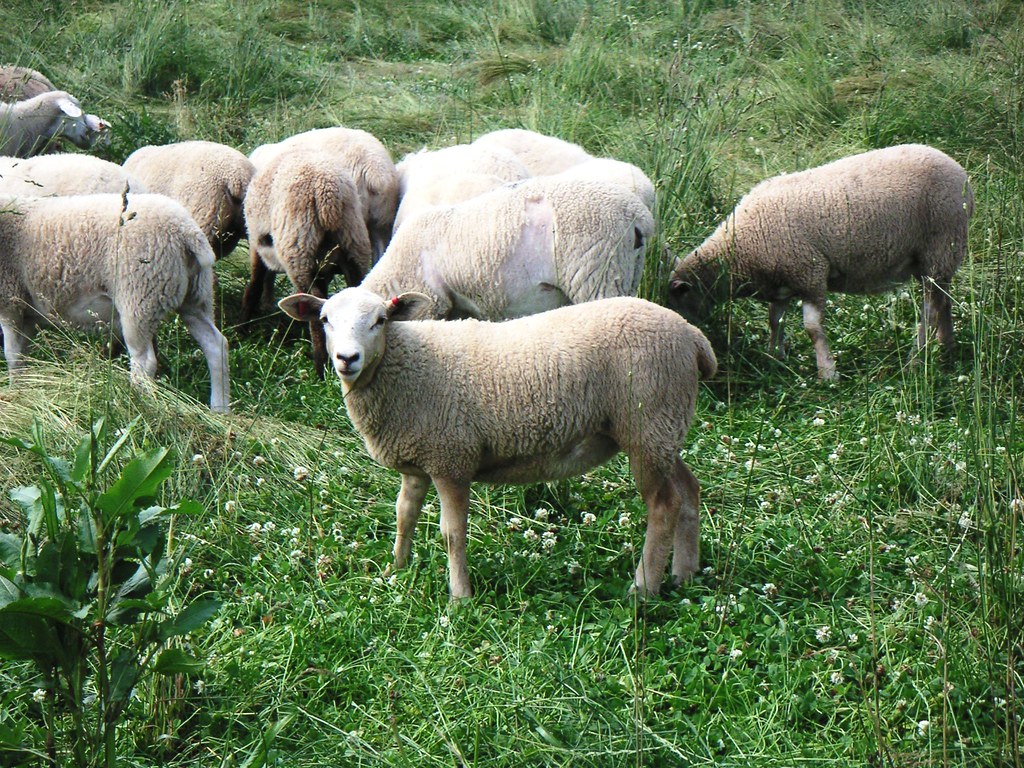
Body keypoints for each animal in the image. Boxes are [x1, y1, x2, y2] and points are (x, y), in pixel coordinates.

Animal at [0, 193, 230, 412]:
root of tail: (187, 230)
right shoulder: (26, 312)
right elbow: (23, 356)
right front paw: (22, 390)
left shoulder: (10, 302)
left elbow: (12, 355)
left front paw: (14, 395)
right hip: (196, 296)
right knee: (215, 345)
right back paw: (219, 410)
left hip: (140, 295)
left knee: (144, 361)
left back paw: (138, 405)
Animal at [241, 149, 373, 377]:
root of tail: (328, 196)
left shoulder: (256, 244)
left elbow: (254, 285)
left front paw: (242, 328)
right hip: (354, 244)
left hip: (298, 251)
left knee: (314, 309)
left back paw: (320, 367)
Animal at [279, 287, 717, 599]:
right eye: (325, 319)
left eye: (381, 320)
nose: (346, 358)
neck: (404, 365)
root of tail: (694, 337)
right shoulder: (420, 459)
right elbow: (404, 515)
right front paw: (396, 571)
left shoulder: (451, 459)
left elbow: (451, 532)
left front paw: (460, 597)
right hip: (663, 428)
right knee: (689, 489)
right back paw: (685, 574)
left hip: (646, 422)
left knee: (664, 505)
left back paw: (644, 588)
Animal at [667, 144, 973, 380]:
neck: (739, 250)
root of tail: (961, 174)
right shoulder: (783, 282)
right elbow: (774, 321)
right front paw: (775, 357)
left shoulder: (810, 272)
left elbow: (812, 329)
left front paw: (827, 372)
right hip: (936, 260)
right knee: (943, 301)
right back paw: (947, 347)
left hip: (940, 246)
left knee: (930, 312)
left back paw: (915, 360)